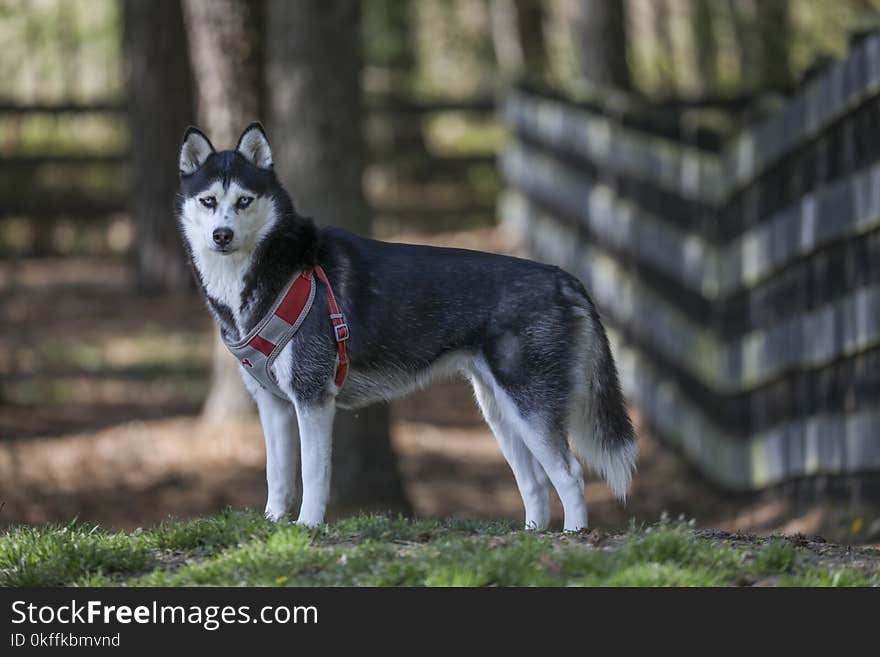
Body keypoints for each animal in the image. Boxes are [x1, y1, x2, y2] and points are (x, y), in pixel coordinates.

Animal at [175, 124, 636, 532]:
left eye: (245, 200)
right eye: (208, 201)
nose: (222, 235)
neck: (276, 271)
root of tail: (564, 277)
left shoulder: (313, 399)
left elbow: (313, 475)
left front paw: (308, 527)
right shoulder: (272, 404)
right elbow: (277, 474)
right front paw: (273, 525)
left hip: (531, 408)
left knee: (570, 474)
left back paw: (574, 536)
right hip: (501, 412)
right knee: (536, 482)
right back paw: (532, 535)